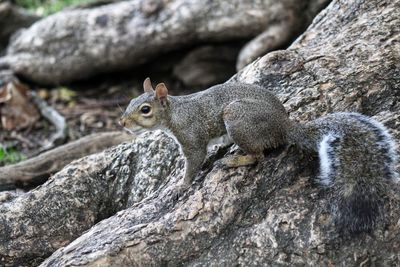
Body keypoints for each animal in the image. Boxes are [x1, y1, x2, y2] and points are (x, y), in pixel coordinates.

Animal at [120, 78, 398, 236]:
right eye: (130, 101)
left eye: (145, 110)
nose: (122, 122)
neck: (175, 114)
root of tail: (283, 127)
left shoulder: (192, 139)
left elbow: (193, 162)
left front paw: (181, 186)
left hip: (238, 119)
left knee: (258, 156)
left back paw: (233, 160)